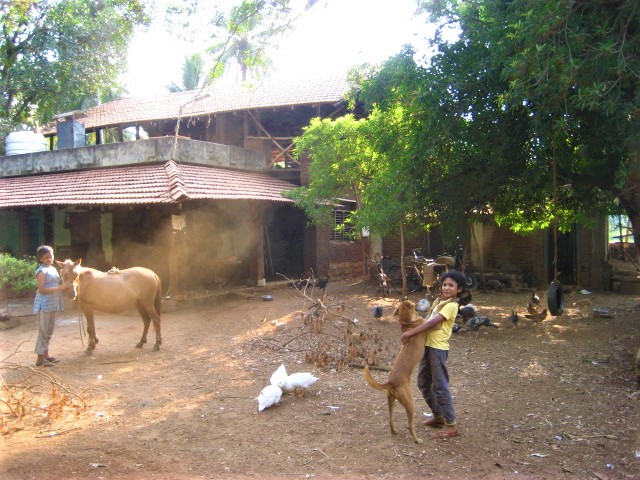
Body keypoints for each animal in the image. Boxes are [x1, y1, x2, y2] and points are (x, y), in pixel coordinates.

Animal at [362, 300, 428, 442]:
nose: (416, 303)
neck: (407, 323)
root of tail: (391, 382)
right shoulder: (425, 323)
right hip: (410, 403)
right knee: (409, 425)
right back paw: (417, 439)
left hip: (390, 401)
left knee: (390, 419)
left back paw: (394, 431)